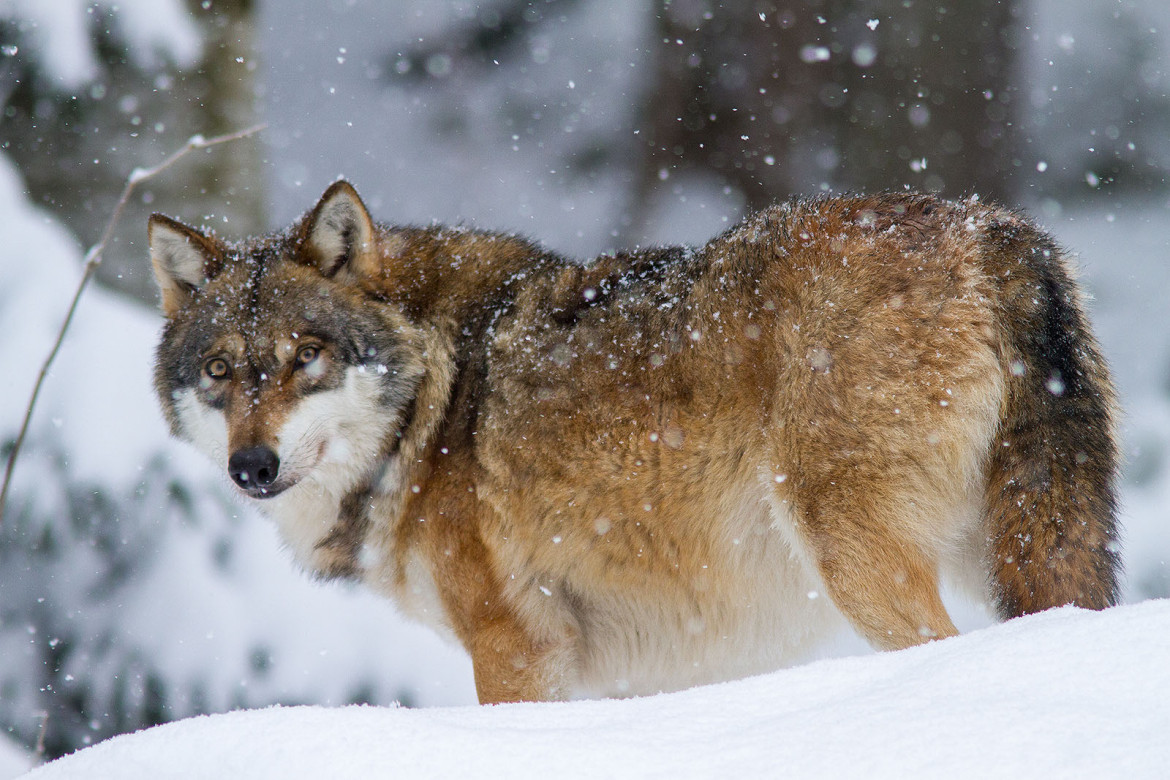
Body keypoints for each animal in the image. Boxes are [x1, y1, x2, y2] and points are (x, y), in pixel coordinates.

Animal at [150, 181, 1118, 701]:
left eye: (305, 356)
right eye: (222, 370)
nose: (252, 466)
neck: (433, 397)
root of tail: (994, 229)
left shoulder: (514, 650)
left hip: (859, 560)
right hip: (1014, 552)